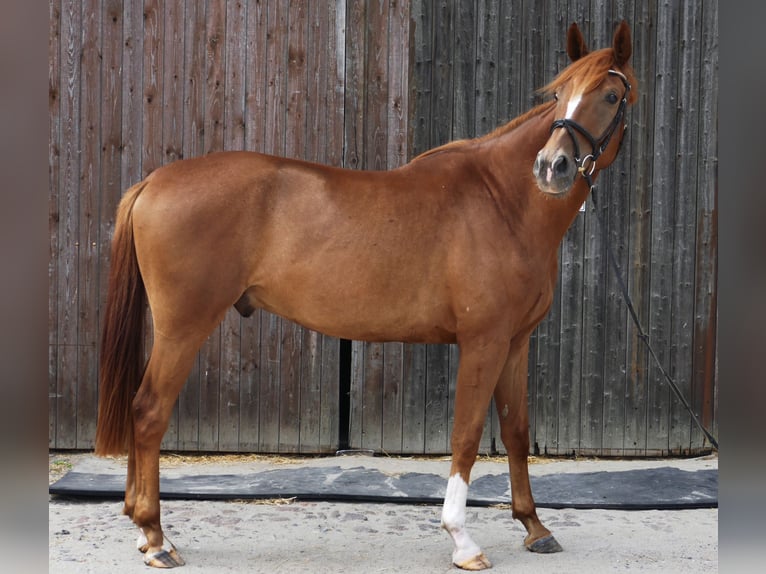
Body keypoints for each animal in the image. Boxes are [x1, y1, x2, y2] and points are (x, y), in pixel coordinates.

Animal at [94, 21, 636, 572]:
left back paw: (143, 529)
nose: (552, 166)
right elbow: (466, 436)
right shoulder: (482, 343)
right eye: (559, 96)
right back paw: (156, 536)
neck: (502, 202)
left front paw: (534, 527)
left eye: (611, 96)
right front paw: (462, 540)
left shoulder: (515, 343)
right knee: (149, 412)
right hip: (183, 328)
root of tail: (152, 181)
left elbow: (516, 432)